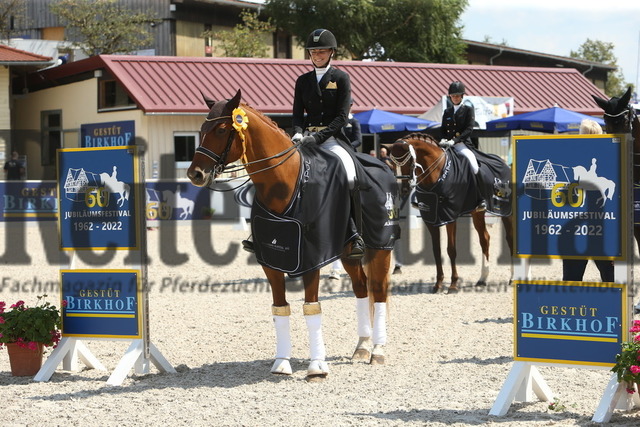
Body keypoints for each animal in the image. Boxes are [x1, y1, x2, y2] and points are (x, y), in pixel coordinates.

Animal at [186, 90, 396, 382]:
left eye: (221, 129)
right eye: (202, 130)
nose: (195, 174)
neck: (287, 184)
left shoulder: (311, 259)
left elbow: (312, 307)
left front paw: (317, 367)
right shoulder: (271, 261)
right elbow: (280, 308)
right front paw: (281, 363)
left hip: (380, 247)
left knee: (379, 290)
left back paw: (377, 351)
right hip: (348, 254)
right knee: (361, 289)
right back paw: (362, 347)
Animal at [390, 134, 516, 294]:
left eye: (409, 162)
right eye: (392, 164)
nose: (403, 189)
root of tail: (505, 164)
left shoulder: (449, 216)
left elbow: (451, 249)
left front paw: (453, 285)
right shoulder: (430, 218)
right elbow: (436, 250)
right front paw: (438, 284)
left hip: (507, 212)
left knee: (510, 239)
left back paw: (513, 278)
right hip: (477, 213)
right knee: (485, 239)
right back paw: (482, 279)